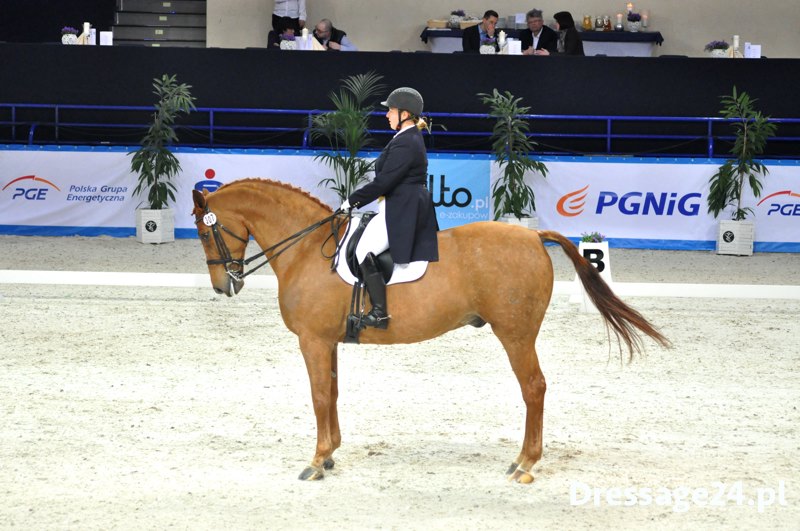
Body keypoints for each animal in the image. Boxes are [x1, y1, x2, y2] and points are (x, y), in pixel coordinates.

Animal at [191, 178, 669, 484]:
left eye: (204, 231)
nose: (223, 285)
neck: (307, 249)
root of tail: (534, 237)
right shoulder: (328, 342)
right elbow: (333, 393)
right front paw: (331, 454)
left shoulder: (312, 340)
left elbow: (319, 397)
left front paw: (317, 459)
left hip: (516, 335)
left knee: (534, 388)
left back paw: (524, 464)